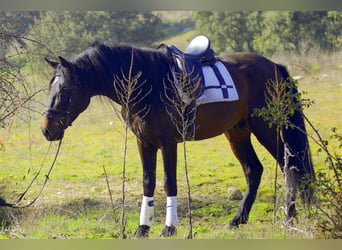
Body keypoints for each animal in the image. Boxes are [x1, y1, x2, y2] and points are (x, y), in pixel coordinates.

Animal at [40, 41, 316, 238]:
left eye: (65, 89)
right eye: (50, 88)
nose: (47, 130)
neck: (148, 84)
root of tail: (274, 66)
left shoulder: (167, 142)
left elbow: (168, 183)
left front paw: (169, 228)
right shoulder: (144, 142)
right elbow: (148, 182)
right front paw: (143, 228)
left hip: (268, 128)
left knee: (290, 166)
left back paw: (289, 218)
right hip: (238, 132)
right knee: (254, 170)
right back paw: (238, 220)